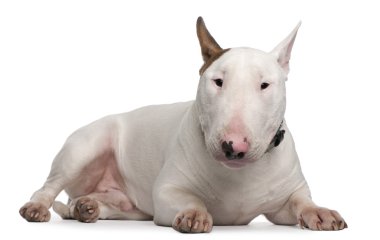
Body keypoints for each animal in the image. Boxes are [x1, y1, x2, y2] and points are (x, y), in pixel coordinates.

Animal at [20, 16, 348, 232]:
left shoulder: (285, 201)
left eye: (265, 85)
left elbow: (301, 202)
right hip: (84, 147)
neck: (240, 175)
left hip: (131, 208)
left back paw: (87, 208)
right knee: (47, 187)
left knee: (104, 206)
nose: (233, 146)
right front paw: (194, 213)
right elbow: (189, 198)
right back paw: (38, 208)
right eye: (217, 81)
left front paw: (320, 212)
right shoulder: (166, 191)